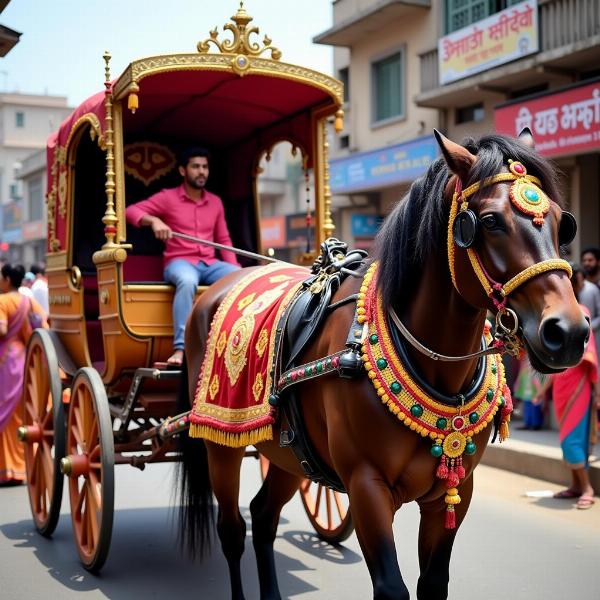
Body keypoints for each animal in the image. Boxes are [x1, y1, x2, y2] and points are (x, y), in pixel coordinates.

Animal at [176, 129, 588, 596]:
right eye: (489, 222)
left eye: (561, 222)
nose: (568, 332)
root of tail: (221, 283)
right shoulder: (365, 486)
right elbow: (392, 587)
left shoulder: (455, 491)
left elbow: (433, 583)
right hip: (219, 440)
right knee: (232, 530)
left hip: (289, 453)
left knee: (263, 517)